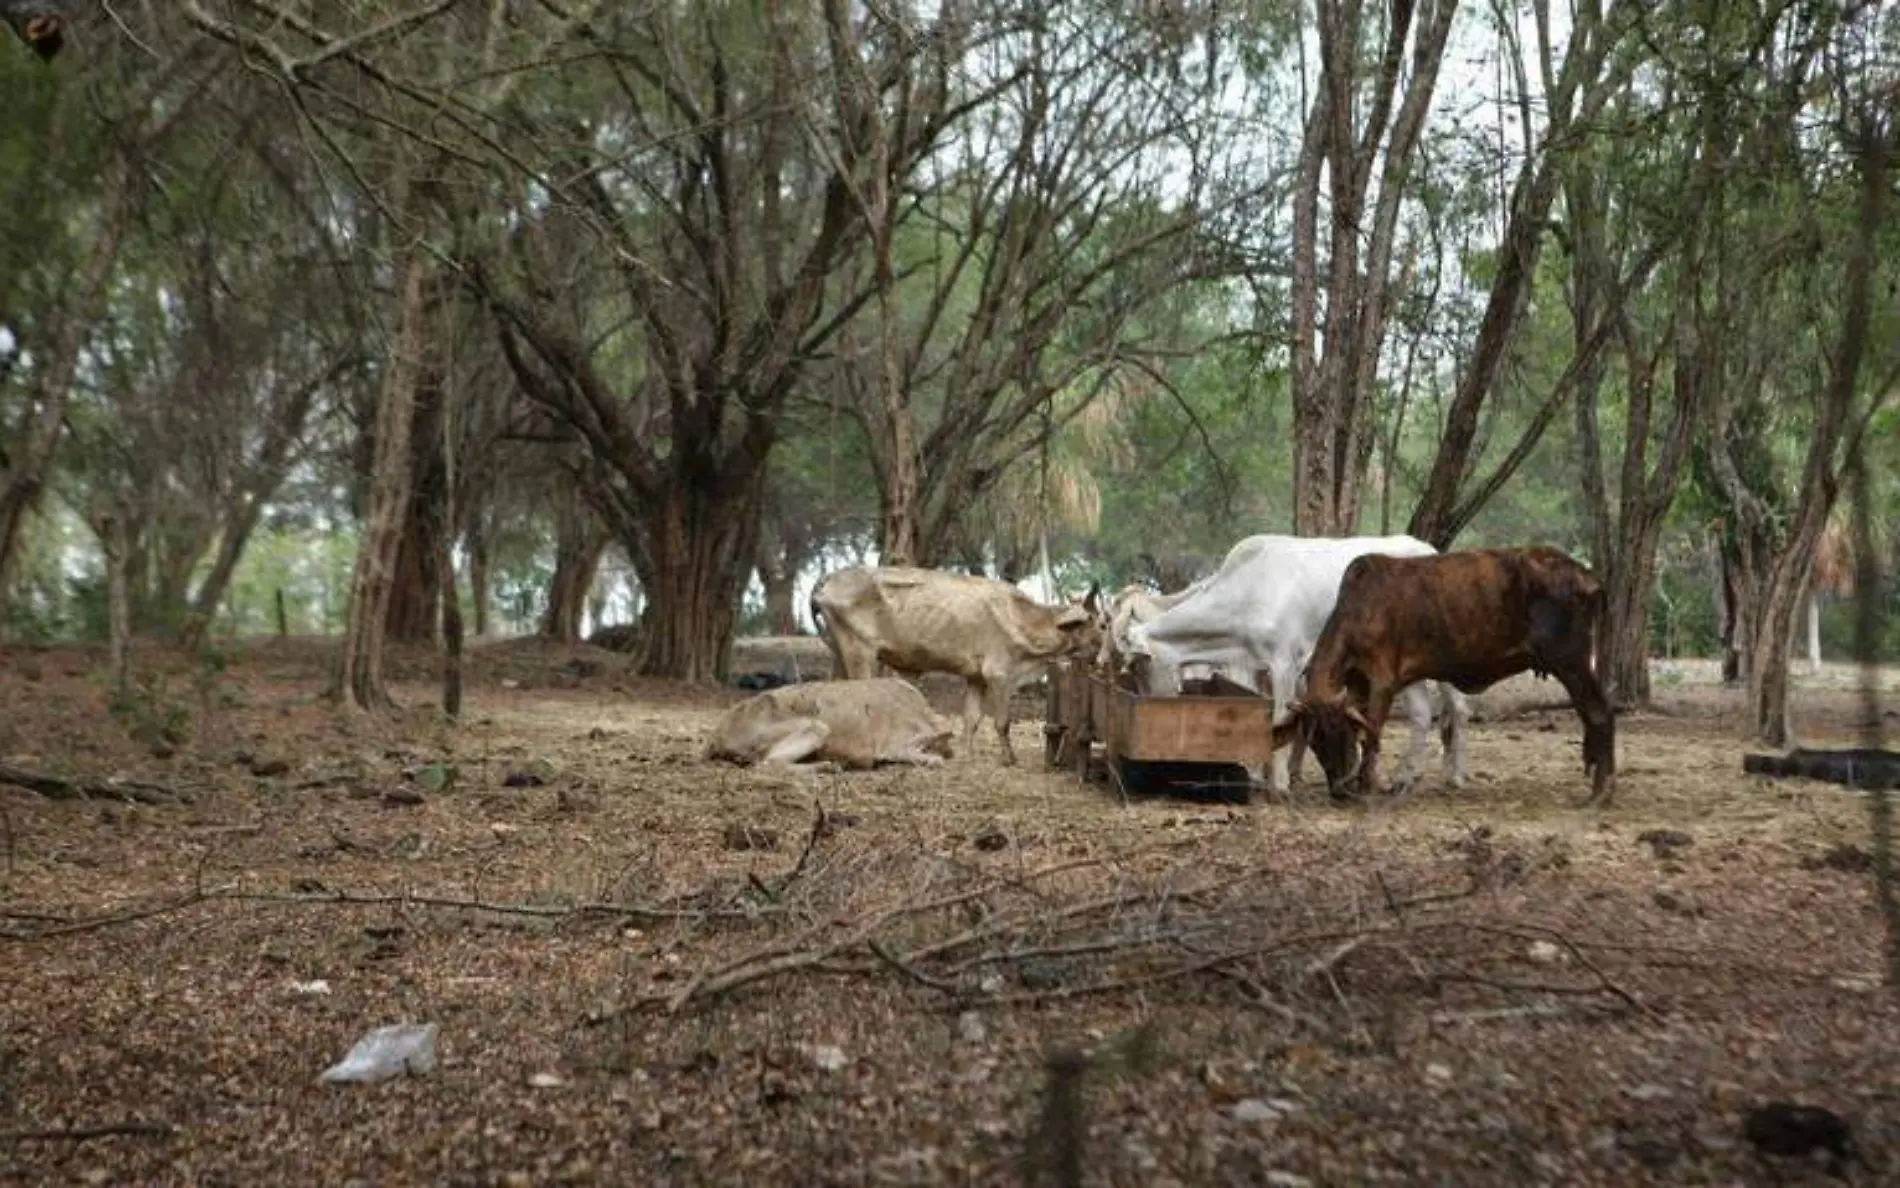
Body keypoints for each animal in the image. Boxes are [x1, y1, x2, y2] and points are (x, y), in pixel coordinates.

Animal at [801, 566, 1102, 767]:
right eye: (1101, 623)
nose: (1100, 656)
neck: (1023, 618)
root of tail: (828, 579)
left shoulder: (976, 678)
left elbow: (972, 719)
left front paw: (967, 756)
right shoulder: (999, 674)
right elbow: (1002, 722)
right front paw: (1009, 759)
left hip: (839, 652)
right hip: (859, 651)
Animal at [1117, 536, 1474, 798]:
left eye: (1138, 665)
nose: (1147, 701)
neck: (1248, 591)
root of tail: (1429, 549)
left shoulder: (1285, 663)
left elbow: (1278, 717)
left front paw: (1280, 783)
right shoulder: (1250, 664)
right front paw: (1259, 774)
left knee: (1454, 709)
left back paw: (1452, 776)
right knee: (1425, 713)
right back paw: (1408, 778)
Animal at [1276, 547, 1618, 805]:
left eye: (1341, 734)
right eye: (1316, 741)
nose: (1338, 789)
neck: (1359, 608)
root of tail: (1588, 576)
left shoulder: (1383, 680)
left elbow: (1372, 734)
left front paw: (1366, 786)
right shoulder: (1358, 683)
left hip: (1574, 664)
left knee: (1600, 715)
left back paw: (1601, 792)